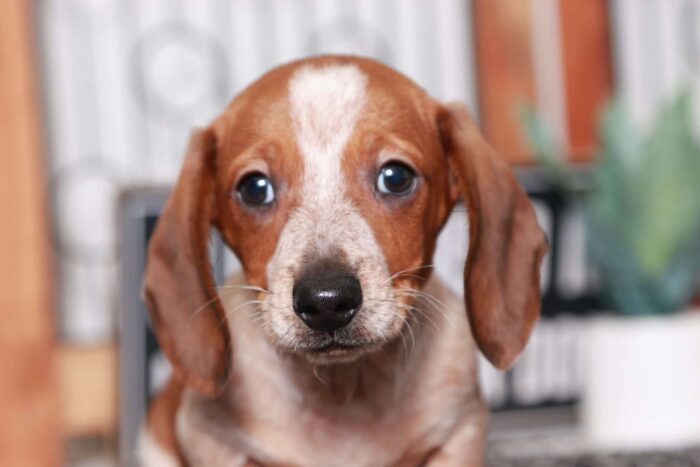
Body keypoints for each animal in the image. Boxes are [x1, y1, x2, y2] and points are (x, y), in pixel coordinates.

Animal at [142, 55, 548, 467]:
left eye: (395, 177)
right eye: (254, 188)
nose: (326, 301)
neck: (345, 390)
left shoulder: (459, 433)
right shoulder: (215, 443)